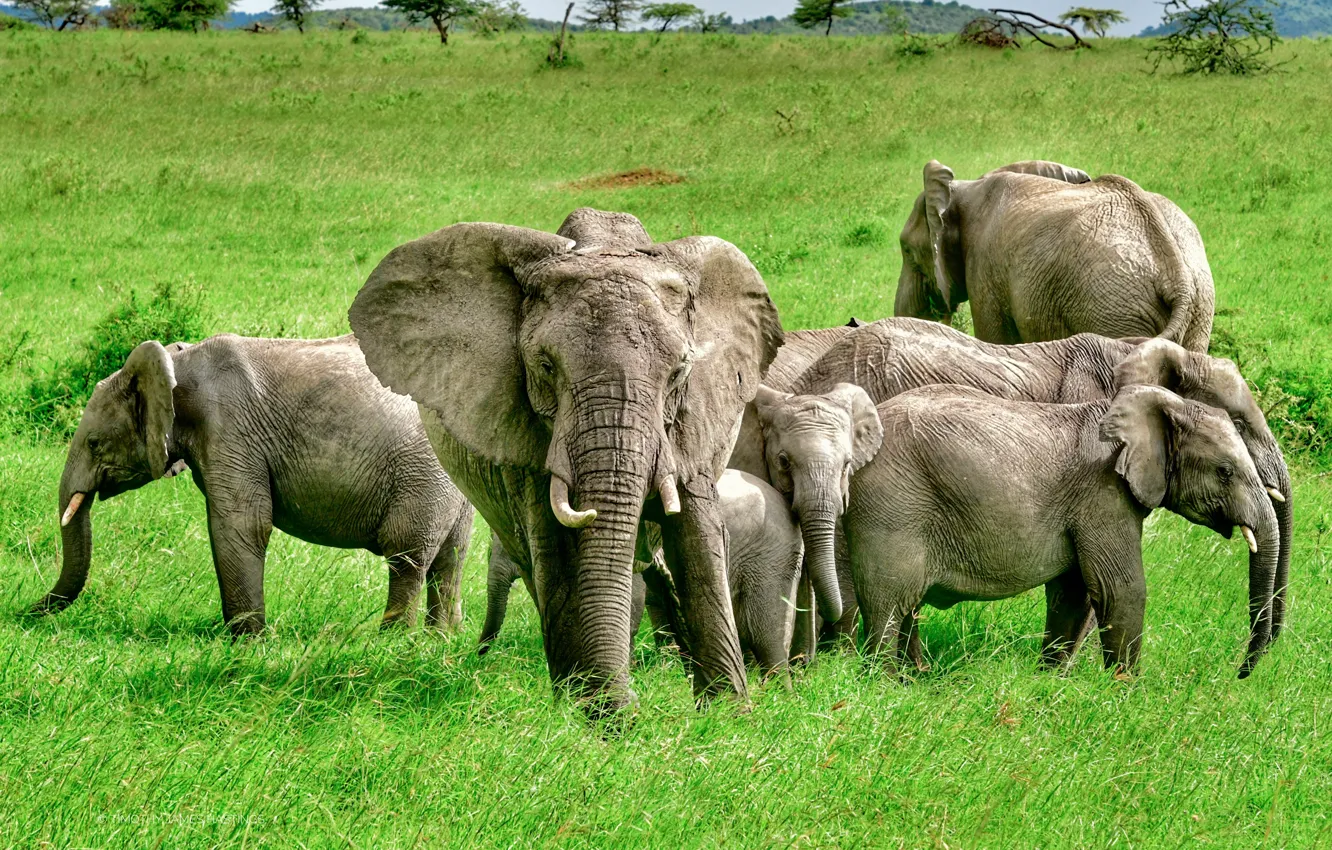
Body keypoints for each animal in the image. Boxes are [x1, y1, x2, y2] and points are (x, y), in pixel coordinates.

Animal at [30, 335, 475, 634]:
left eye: (94, 443)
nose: (24, 612)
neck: (178, 364)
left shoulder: (230, 431)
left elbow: (241, 525)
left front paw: (247, 645)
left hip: (423, 475)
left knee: (407, 556)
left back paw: (392, 643)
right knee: (450, 559)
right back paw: (440, 642)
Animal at [348, 208, 784, 714]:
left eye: (679, 372)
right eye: (545, 367)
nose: (633, 703)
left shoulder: (696, 421)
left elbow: (697, 540)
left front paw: (728, 713)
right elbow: (554, 549)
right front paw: (592, 714)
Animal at [844, 384, 1279, 678]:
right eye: (1225, 472)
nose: (1240, 674)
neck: (1165, 405)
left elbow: (1074, 593)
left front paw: (1051, 679)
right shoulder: (1103, 494)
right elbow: (1121, 588)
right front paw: (1125, 691)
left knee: (905, 608)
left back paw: (915, 678)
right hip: (891, 506)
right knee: (889, 604)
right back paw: (887, 682)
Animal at [894, 159, 1215, 352]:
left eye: (907, 249)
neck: (964, 188)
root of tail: (1176, 276)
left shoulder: (984, 270)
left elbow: (996, 339)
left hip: (1110, 308)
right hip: (1198, 308)